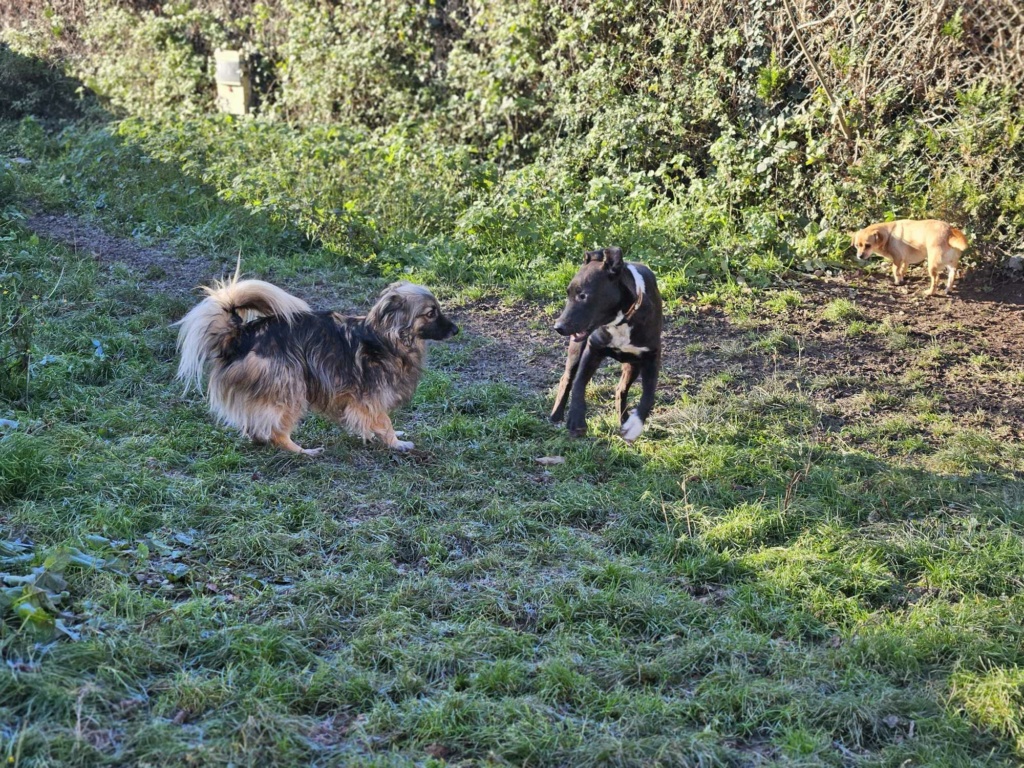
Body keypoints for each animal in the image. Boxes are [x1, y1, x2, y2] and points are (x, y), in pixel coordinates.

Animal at [178, 274, 458, 456]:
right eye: (431, 313)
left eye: (438, 309)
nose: (456, 329)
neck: (389, 337)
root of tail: (240, 336)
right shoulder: (369, 399)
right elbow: (384, 421)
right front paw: (396, 444)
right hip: (291, 387)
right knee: (276, 432)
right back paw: (304, 451)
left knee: (257, 427)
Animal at [552, 244, 663, 438]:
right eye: (568, 294)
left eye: (583, 295)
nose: (558, 326)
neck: (621, 320)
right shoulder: (593, 349)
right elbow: (579, 383)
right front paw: (576, 418)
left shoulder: (651, 357)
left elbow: (649, 395)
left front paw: (635, 424)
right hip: (576, 350)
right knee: (567, 378)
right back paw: (556, 413)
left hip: (633, 365)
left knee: (621, 390)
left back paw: (623, 419)